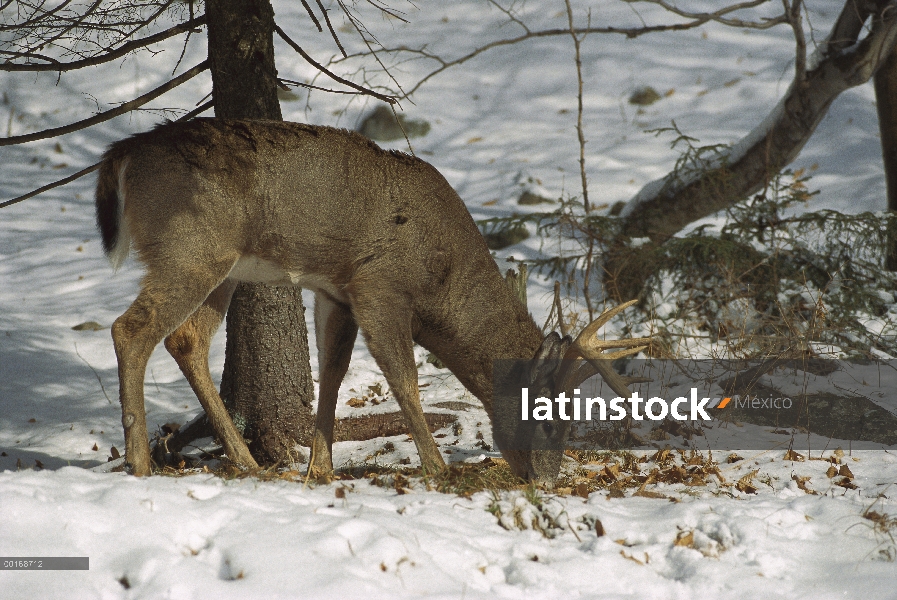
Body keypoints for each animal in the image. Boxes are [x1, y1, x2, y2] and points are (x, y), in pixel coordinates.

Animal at [94, 119, 648, 480]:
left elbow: (333, 374)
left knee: (186, 339)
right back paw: (140, 461)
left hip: (220, 265)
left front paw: (320, 468)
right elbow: (404, 378)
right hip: (190, 246)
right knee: (130, 329)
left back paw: (248, 462)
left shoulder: (337, 292)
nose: (547, 479)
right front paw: (438, 468)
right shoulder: (378, 285)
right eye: (550, 419)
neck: (441, 279)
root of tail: (122, 154)